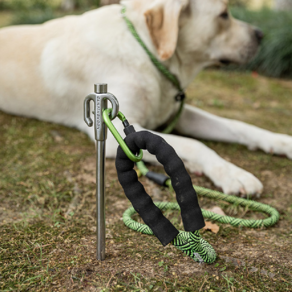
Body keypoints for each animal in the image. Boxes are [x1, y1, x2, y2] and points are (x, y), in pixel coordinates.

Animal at [0, 0, 292, 196]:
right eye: (223, 14)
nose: (261, 34)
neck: (146, 50)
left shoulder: (177, 112)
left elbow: (238, 126)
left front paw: (280, 141)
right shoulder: (115, 134)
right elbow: (194, 145)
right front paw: (234, 174)